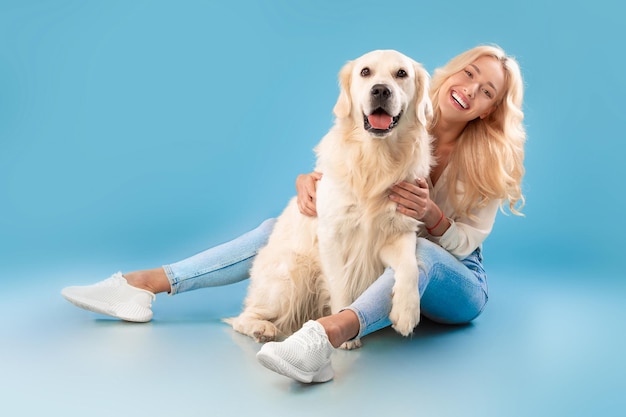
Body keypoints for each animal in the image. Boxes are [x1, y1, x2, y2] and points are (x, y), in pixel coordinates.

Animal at [227, 48, 432, 348]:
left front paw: (406, 313)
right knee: (243, 317)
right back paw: (261, 328)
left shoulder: (398, 232)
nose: (381, 90)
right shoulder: (333, 236)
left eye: (401, 73)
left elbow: (409, 267)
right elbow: (340, 284)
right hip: (294, 272)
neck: (375, 159)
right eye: (365, 72)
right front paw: (345, 336)